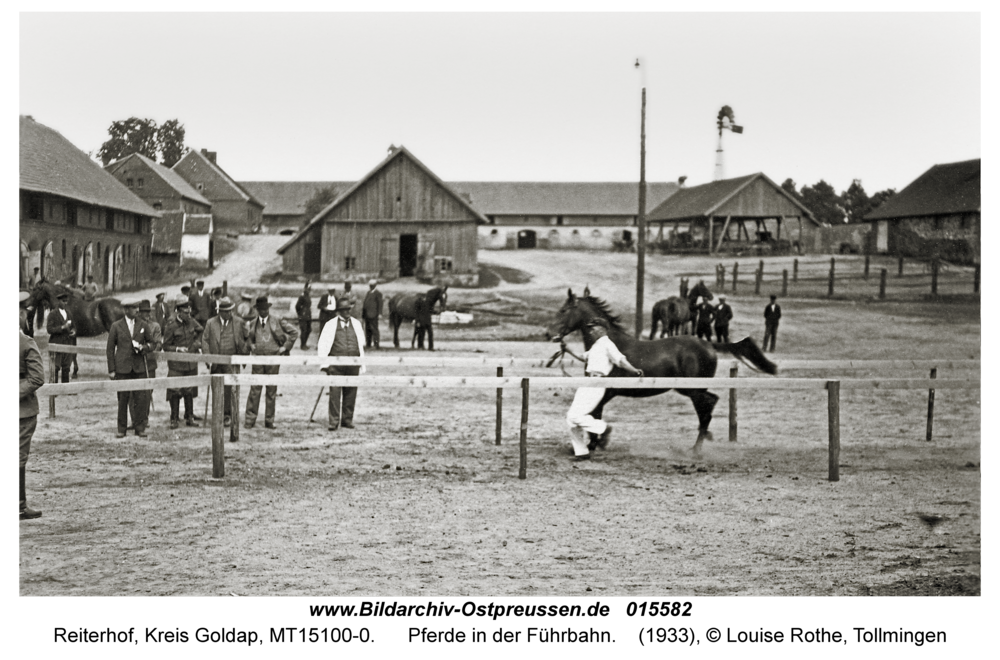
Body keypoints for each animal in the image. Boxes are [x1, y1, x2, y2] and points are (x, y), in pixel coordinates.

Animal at [548, 286, 772, 456]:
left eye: (563, 310)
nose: (549, 334)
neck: (608, 342)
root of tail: (708, 344)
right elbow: (595, 414)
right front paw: (595, 443)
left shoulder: (606, 391)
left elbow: (596, 414)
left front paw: (596, 443)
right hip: (690, 389)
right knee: (710, 403)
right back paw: (703, 440)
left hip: (693, 389)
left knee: (707, 407)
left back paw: (696, 448)